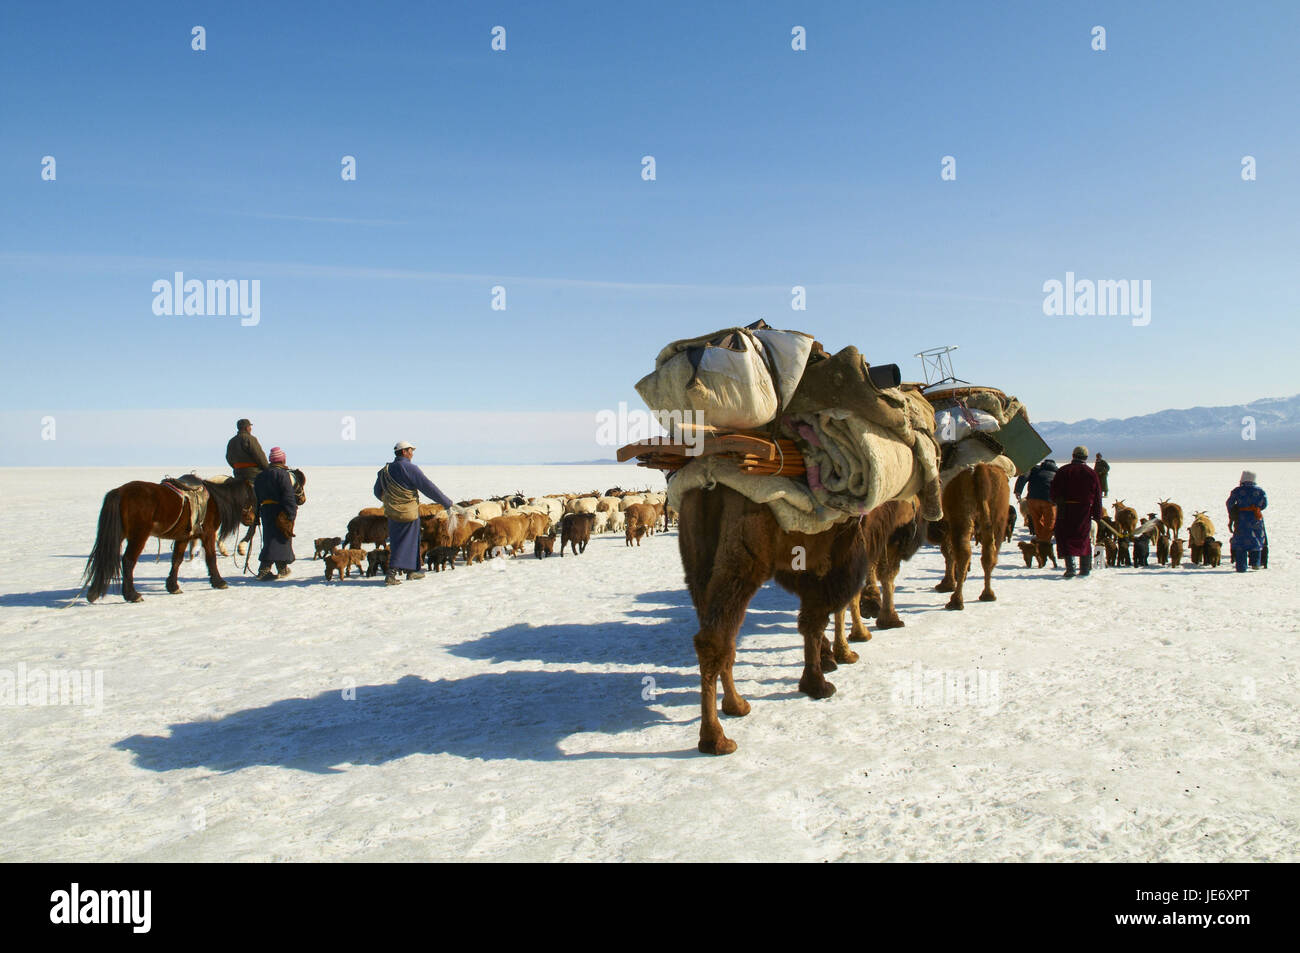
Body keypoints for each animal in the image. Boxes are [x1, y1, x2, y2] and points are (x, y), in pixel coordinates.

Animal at [83, 475, 256, 603]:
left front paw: (173, 586)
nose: (253, 520)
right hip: (138, 536)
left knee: (105, 557)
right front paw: (219, 582)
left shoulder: (184, 536)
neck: (216, 500)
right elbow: (211, 558)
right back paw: (132, 595)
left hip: (119, 535)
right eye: (251, 498)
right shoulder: (208, 534)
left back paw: (93, 593)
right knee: (128, 561)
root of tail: (119, 492)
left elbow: (177, 560)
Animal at [930, 462, 1008, 608]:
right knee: (990, 553)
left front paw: (946, 584)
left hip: (962, 518)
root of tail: (980, 470)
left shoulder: (948, 525)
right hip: (996, 517)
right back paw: (987, 594)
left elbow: (947, 552)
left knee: (963, 553)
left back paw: (955, 601)